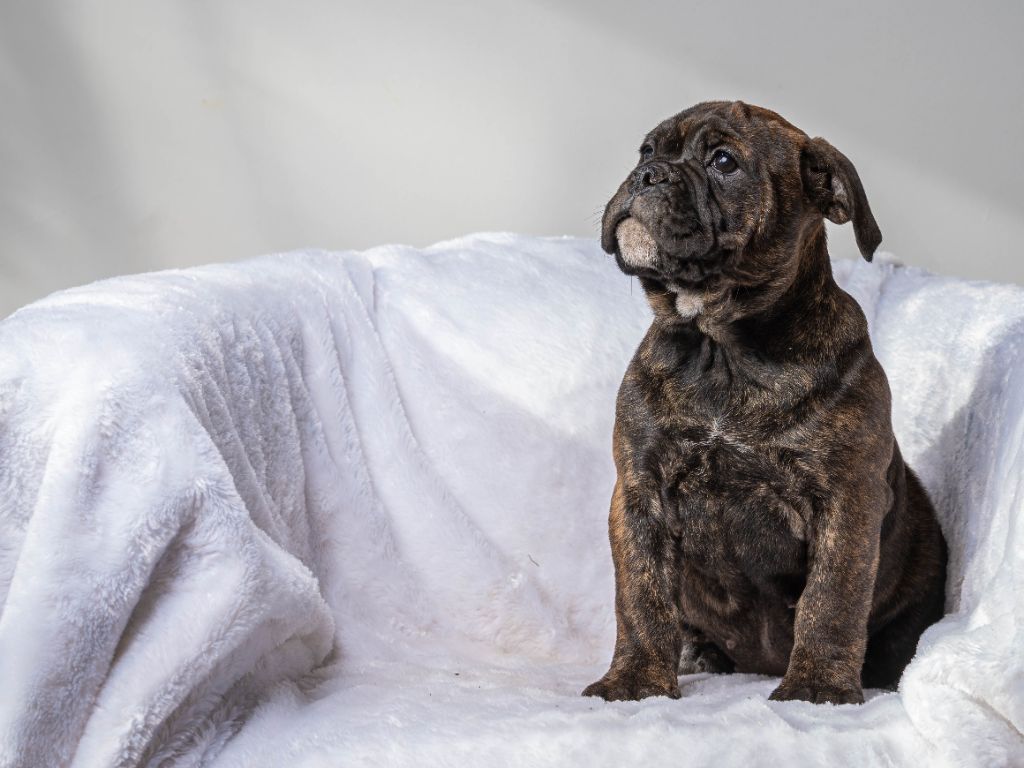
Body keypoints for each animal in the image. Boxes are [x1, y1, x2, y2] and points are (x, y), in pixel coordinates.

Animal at [582, 101, 947, 705]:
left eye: (724, 161)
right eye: (648, 151)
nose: (647, 175)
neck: (720, 347)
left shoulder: (845, 501)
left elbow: (832, 600)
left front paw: (817, 687)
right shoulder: (639, 492)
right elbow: (641, 597)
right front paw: (636, 679)